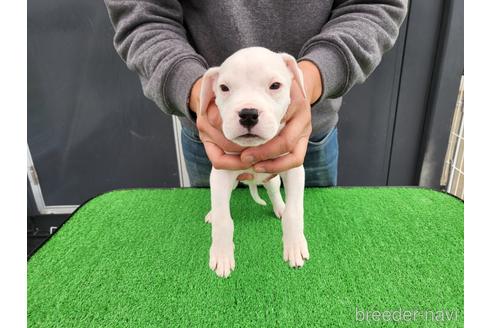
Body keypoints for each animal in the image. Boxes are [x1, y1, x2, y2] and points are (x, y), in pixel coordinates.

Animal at [199, 46, 308, 276]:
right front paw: (221, 254)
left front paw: (294, 245)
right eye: (224, 88)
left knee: (275, 191)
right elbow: (223, 219)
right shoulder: (221, 174)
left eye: (275, 86)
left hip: (273, 177)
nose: (248, 114)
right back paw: (212, 213)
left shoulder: (294, 168)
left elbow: (294, 212)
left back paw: (280, 207)